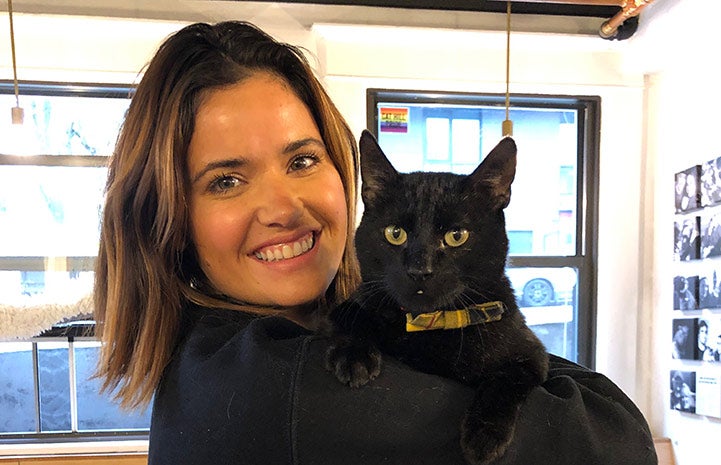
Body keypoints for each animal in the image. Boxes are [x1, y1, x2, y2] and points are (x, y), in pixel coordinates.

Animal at [324, 129, 544, 462]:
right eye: (395, 233)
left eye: (457, 236)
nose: (420, 270)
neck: (428, 326)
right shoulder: (355, 303)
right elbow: (351, 315)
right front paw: (355, 355)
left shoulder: (533, 355)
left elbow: (506, 378)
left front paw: (484, 436)